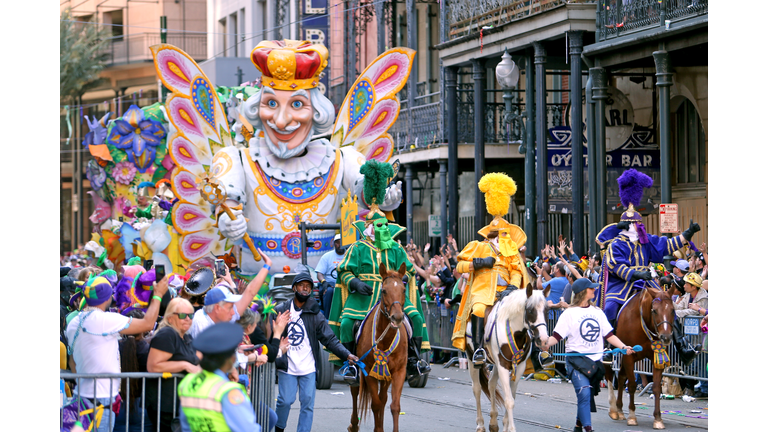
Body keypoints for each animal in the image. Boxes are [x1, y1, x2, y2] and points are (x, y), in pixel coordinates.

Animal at [348, 262, 408, 432]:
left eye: (404, 289)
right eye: (384, 291)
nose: (397, 317)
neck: (384, 340)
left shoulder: (399, 371)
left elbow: (394, 406)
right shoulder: (368, 371)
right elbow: (375, 404)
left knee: (383, 398)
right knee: (355, 392)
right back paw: (354, 424)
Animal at [608, 286, 672, 428]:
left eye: (672, 310)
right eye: (654, 310)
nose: (665, 337)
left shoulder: (657, 356)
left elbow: (656, 388)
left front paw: (658, 419)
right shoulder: (629, 356)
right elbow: (631, 384)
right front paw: (632, 416)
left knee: (621, 377)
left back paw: (619, 410)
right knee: (609, 376)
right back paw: (613, 409)